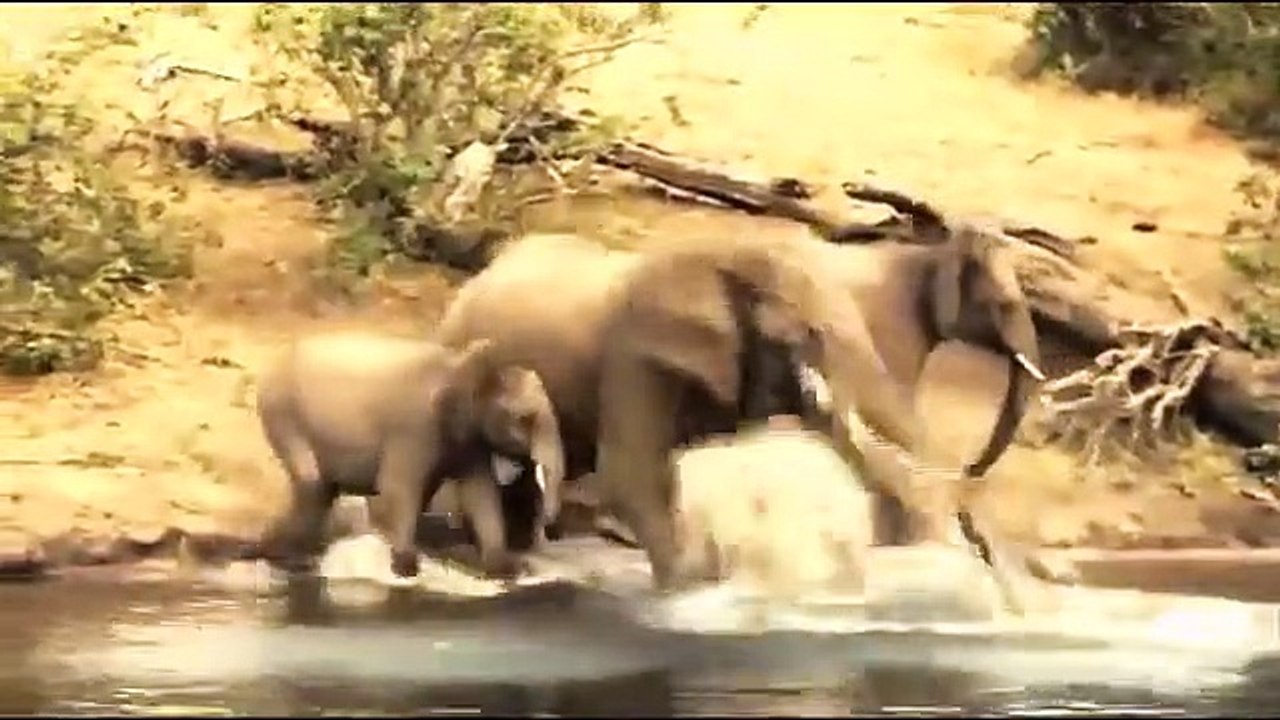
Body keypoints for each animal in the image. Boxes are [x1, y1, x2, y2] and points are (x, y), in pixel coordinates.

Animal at [254, 331, 566, 580]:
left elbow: (481, 493)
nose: (547, 532)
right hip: (282, 413)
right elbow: (398, 487)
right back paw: (290, 558)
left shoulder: (468, 439)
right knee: (312, 482)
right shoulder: (413, 428)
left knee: (320, 491)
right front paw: (406, 569)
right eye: (524, 419)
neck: (460, 361)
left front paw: (507, 569)